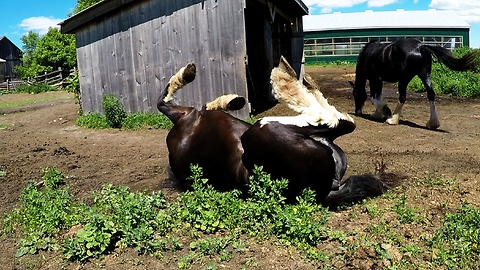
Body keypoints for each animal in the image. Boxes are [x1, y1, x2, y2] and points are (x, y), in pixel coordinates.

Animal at [158, 58, 402, 208]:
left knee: (340, 120)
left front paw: (229, 100)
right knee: (332, 117)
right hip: (264, 126)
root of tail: (325, 190)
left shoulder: (186, 113)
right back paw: (287, 77)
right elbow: (163, 101)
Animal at [348, 37, 480, 129]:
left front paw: (385, 111)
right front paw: (378, 114)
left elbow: (374, 97)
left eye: (355, 94)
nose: (357, 112)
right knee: (431, 95)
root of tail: (420, 46)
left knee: (402, 97)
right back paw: (433, 123)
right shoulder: (378, 81)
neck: (368, 55)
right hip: (425, 75)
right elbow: (377, 95)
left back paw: (393, 120)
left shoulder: (375, 79)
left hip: (404, 79)